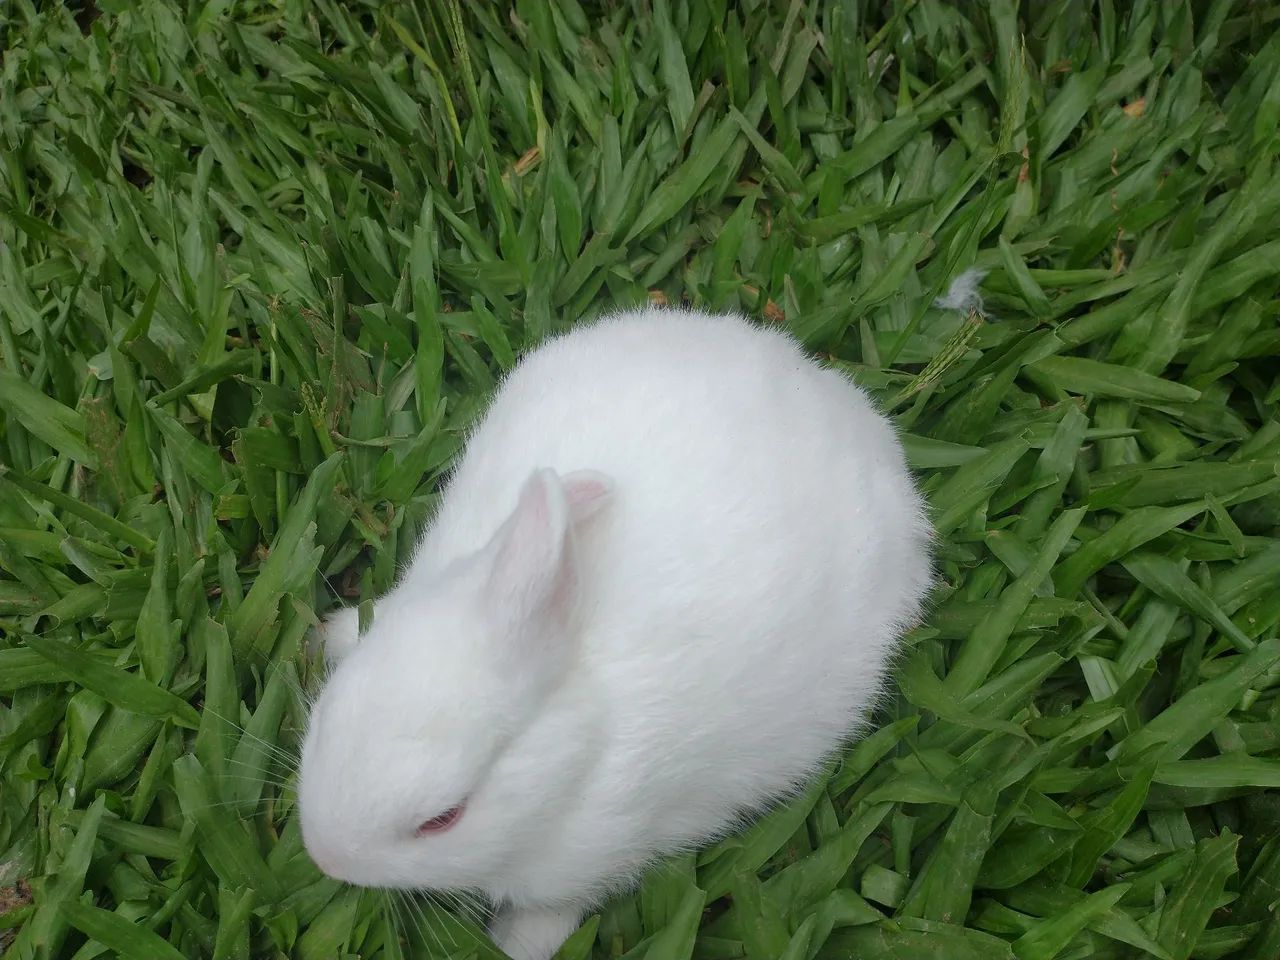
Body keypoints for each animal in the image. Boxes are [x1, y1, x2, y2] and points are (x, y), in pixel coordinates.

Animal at [297, 307, 932, 960]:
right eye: (324, 717)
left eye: (442, 820)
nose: (324, 856)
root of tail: (851, 413)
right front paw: (325, 636)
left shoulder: (593, 856)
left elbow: (551, 910)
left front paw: (516, 947)